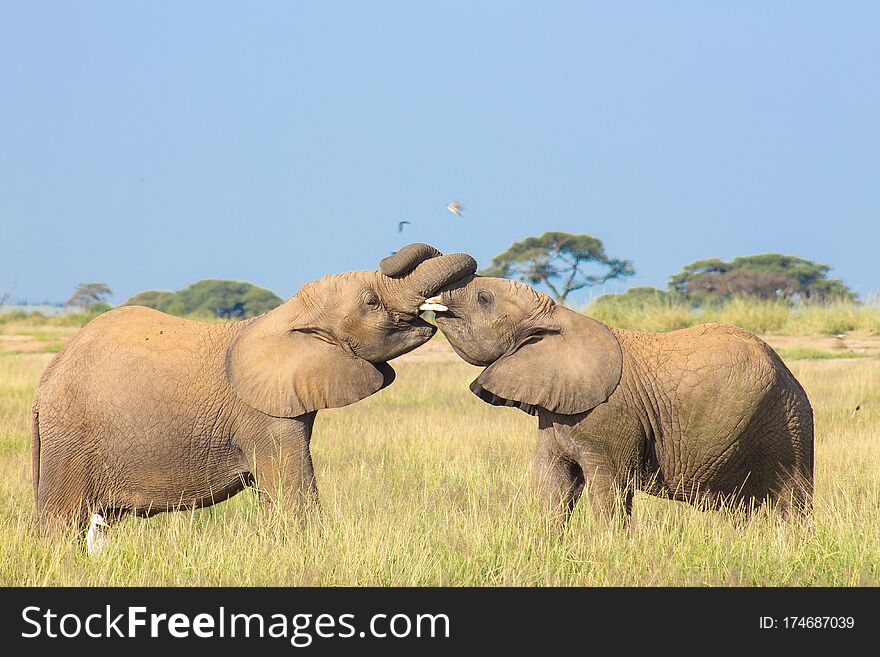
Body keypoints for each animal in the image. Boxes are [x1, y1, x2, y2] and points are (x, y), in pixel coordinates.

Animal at [32, 242, 474, 528]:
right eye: (371, 303)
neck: (287, 314)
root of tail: (47, 378)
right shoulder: (261, 416)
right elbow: (293, 496)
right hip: (71, 436)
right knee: (62, 522)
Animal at [422, 274, 816, 524]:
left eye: (483, 299)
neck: (561, 317)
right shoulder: (556, 414)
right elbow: (551, 485)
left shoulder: (608, 417)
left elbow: (608, 489)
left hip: (786, 424)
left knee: (790, 502)